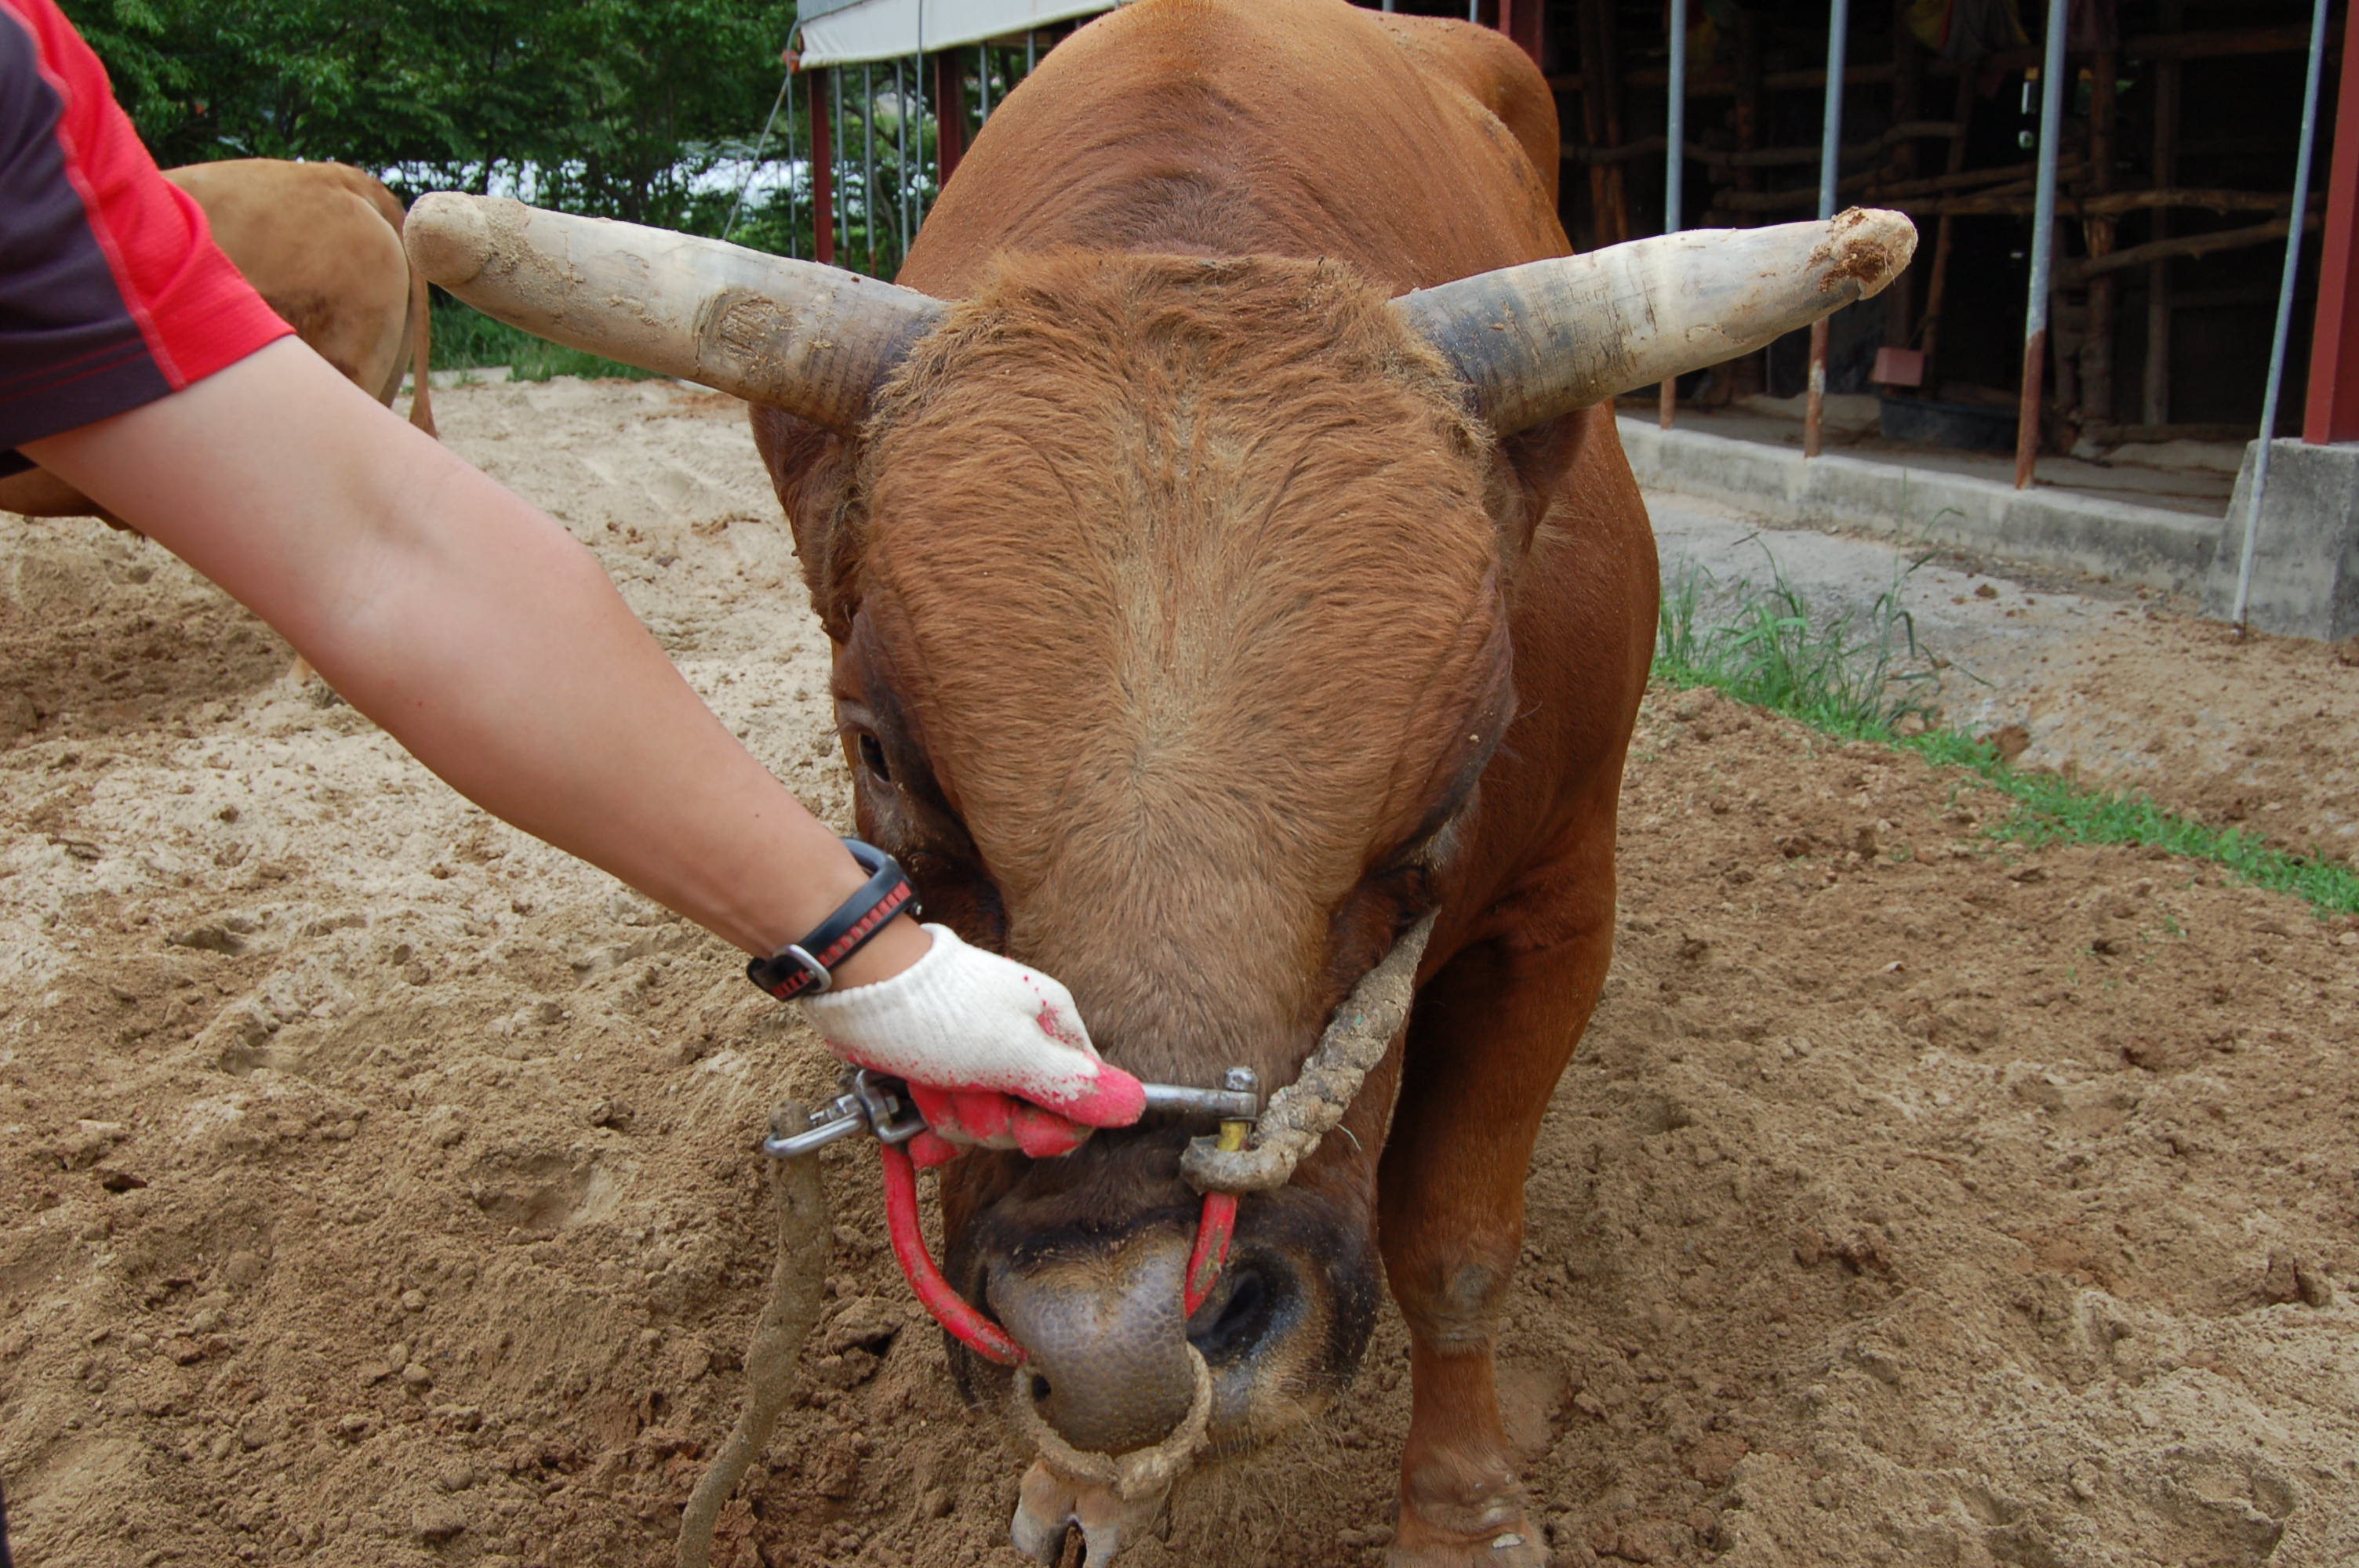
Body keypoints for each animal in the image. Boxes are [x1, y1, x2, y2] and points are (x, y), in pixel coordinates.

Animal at [405, 0, 1915, 1555]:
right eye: (878, 749)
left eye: (1460, 781)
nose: (1113, 1335)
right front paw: (1079, 1485)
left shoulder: (1559, 904)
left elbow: (1456, 1245)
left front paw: (1461, 1510)